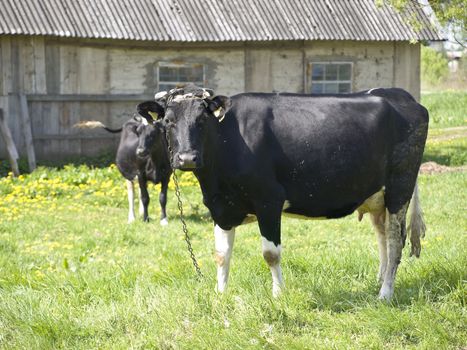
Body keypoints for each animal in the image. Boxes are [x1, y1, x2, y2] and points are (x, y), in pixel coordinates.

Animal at [141, 85, 430, 300]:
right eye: (168, 122)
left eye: (202, 121)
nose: (187, 158)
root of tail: (399, 95)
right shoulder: (220, 206)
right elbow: (221, 255)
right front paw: (220, 294)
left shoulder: (269, 200)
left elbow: (271, 254)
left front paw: (278, 294)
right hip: (377, 196)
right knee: (382, 236)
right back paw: (379, 281)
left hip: (399, 187)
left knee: (395, 241)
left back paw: (385, 294)